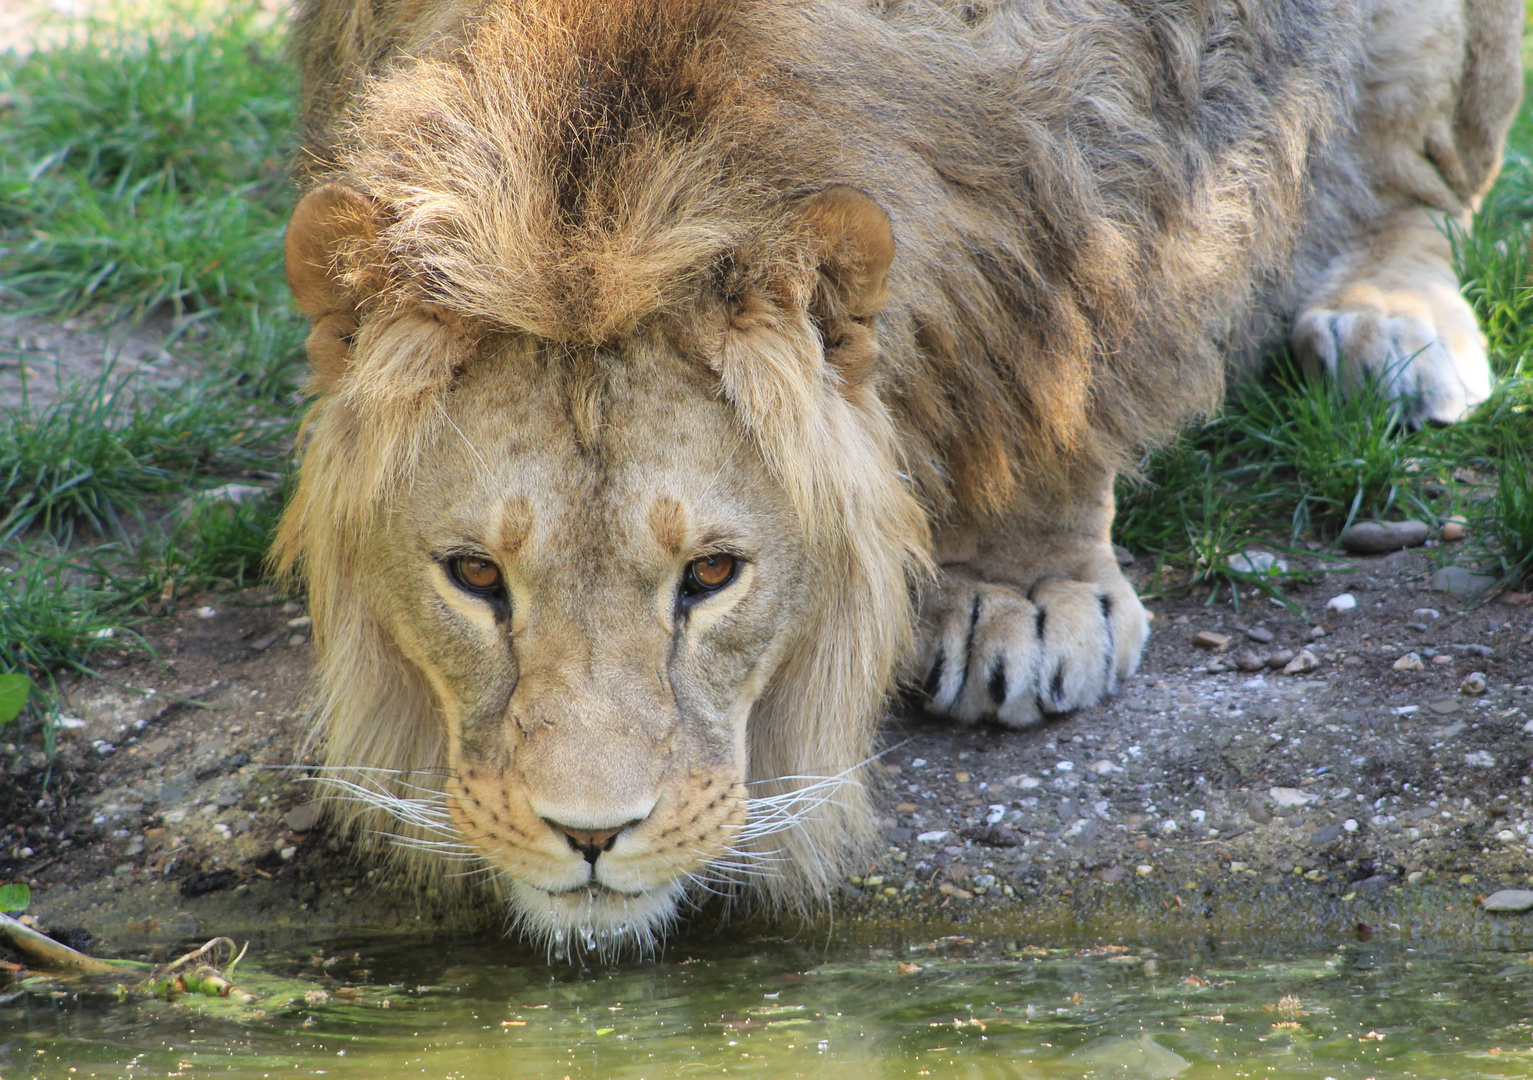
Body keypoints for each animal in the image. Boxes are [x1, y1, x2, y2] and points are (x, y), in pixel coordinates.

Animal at [275, 0, 1520, 949]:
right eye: (475, 577)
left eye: (713, 575)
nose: (588, 836)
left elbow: (1068, 331)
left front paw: (1027, 590)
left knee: (1416, 189)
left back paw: (1391, 328)